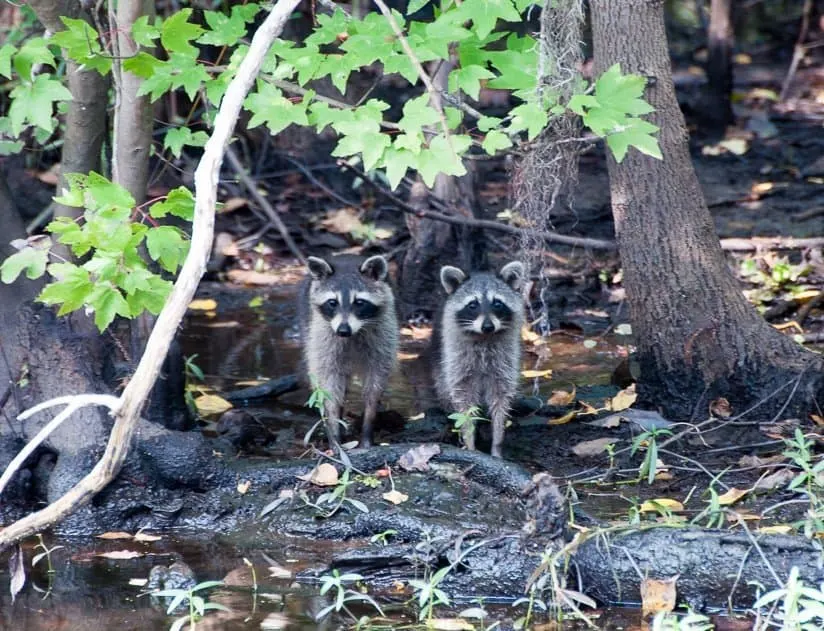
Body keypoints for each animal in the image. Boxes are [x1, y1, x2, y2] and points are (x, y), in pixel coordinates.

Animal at [300, 254, 400, 446]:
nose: (343, 330)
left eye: (359, 302)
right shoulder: (323, 336)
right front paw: (334, 432)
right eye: (332, 302)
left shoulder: (383, 333)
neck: (353, 333)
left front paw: (368, 426)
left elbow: (375, 382)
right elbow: (329, 385)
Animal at [434, 262, 524, 460]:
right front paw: (470, 443)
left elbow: (501, 402)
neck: (484, 338)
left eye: (497, 303)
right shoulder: (458, 364)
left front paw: (497, 443)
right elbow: (464, 406)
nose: (488, 326)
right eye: (472, 304)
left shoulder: (504, 363)